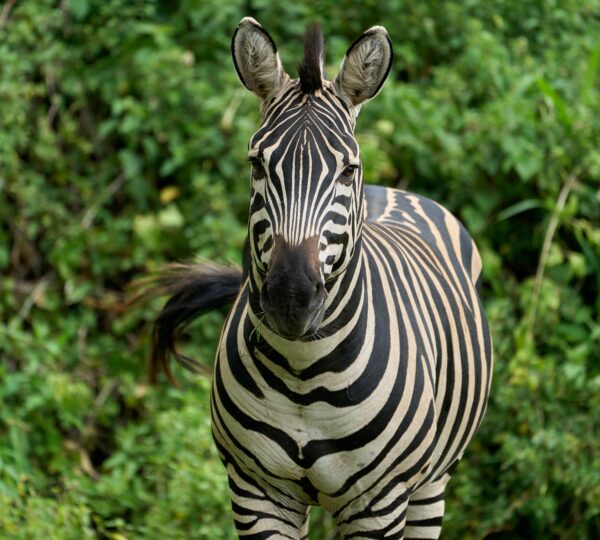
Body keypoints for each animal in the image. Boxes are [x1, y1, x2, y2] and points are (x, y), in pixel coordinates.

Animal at [150, 17, 492, 540]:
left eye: (348, 170)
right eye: (256, 164)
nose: (291, 297)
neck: (303, 373)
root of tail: (393, 191)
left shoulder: (379, 504)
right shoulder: (256, 493)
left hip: (431, 484)